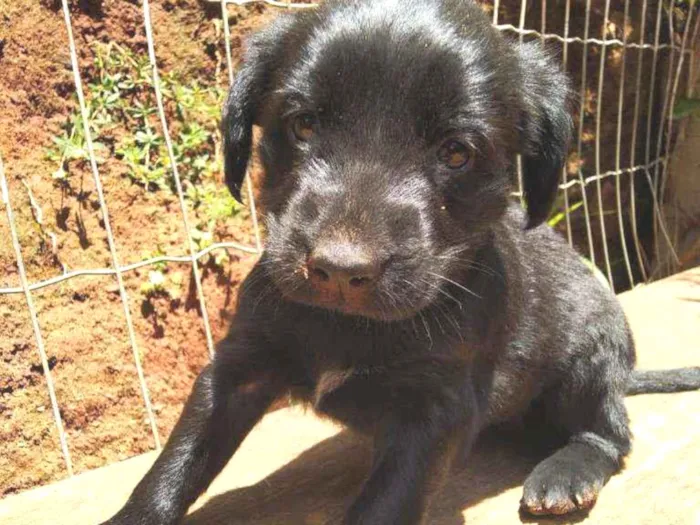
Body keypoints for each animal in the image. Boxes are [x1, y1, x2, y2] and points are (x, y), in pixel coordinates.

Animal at [104, 2, 700, 520]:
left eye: (457, 152)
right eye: (302, 125)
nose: (340, 270)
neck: (345, 325)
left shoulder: (432, 412)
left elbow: (384, 504)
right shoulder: (239, 366)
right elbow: (176, 463)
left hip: (590, 361)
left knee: (610, 433)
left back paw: (566, 474)